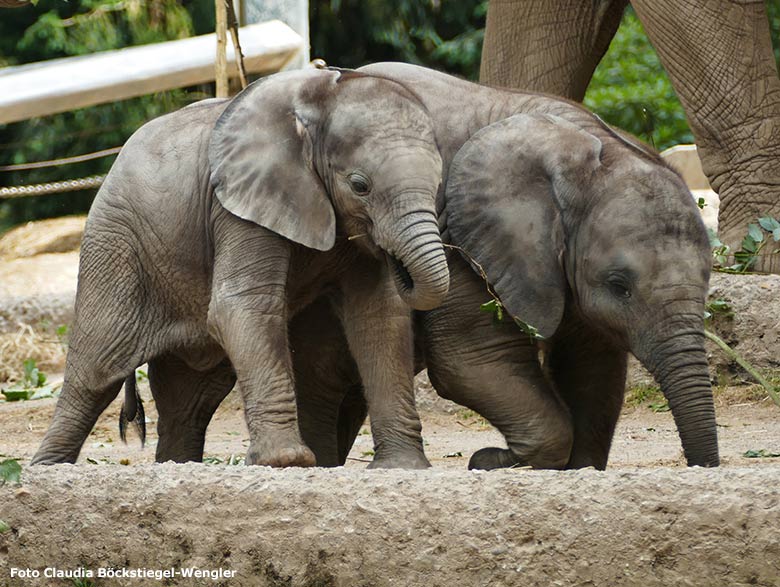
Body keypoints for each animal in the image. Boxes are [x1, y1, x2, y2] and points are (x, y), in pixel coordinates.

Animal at [33, 66, 448, 470]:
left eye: (439, 181)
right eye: (359, 185)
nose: (397, 260)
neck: (317, 102)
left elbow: (378, 316)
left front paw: (403, 467)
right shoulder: (237, 205)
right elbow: (245, 304)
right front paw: (287, 462)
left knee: (190, 398)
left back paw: (177, 465)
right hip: (115, 245)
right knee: (96, 372)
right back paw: (46, 468)